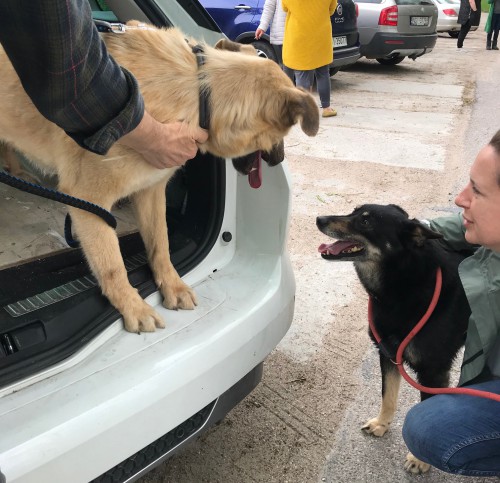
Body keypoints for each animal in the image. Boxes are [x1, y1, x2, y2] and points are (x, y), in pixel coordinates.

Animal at [0, 22, 320, 332]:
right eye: (285, 133)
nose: (279, 160)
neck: (201, 94)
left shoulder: (151, 190)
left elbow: (161, 244)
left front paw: (173, 286)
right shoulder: (89, 201)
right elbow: (112, 264)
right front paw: (133, 307)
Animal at [316, 205, 472, 476]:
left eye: (365, 221)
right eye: (354, 211)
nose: (319, 219)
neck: (403, 284)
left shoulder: (433, 372)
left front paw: (420, 459)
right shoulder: (388, 353)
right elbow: (387, 395)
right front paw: (381, 423)